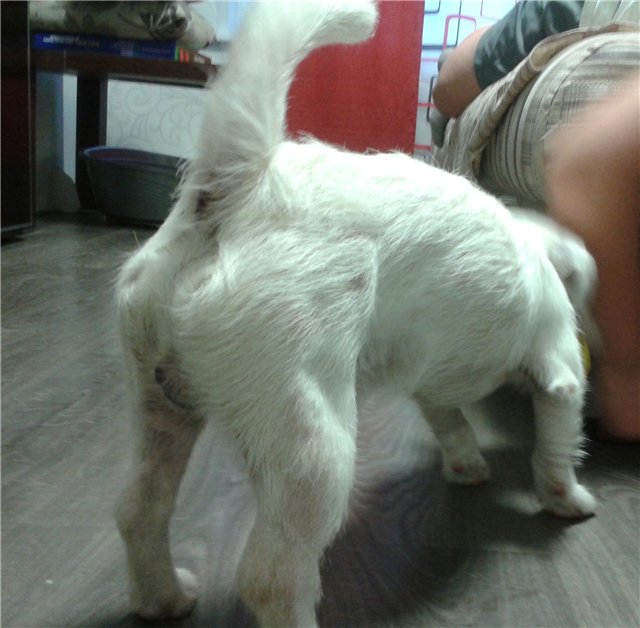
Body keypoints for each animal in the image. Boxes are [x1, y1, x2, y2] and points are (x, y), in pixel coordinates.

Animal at [114, 2, 597, 626]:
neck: (536, 245)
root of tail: (241, 188)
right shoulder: (561, 372)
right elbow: (557, 447)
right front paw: (567, 499)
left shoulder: (431, 382)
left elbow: (452, 424)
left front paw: (466, 465)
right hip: (313, 449)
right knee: (271, 577)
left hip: (161, 409)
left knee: (138, 511)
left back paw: (164, 597)